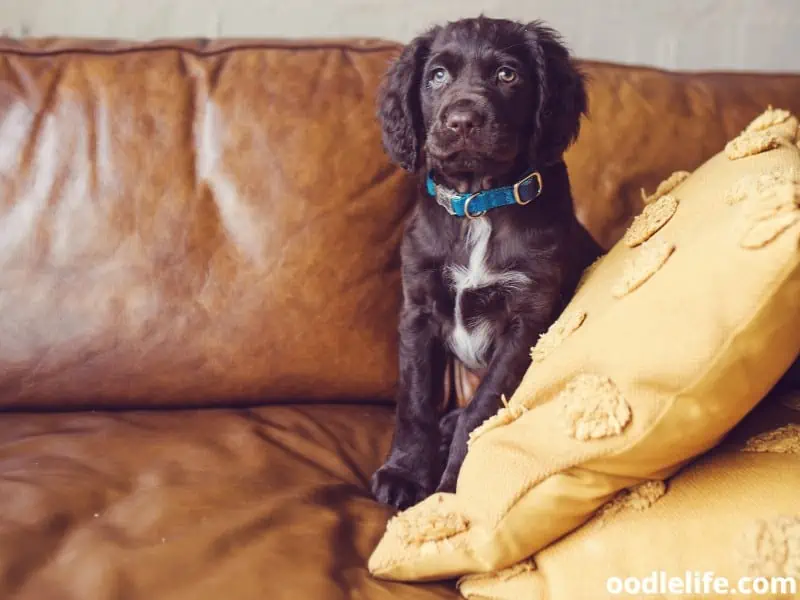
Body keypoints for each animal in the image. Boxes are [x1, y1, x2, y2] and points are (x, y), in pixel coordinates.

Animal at [368, 16, 600, 508]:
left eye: (507, 75)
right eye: (437, 76)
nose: (462, 121)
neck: (478, 204)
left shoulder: (527, 319)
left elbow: (482, 408)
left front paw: (454, 488)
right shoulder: (418, 309)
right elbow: (414, 399)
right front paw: (404, 474)